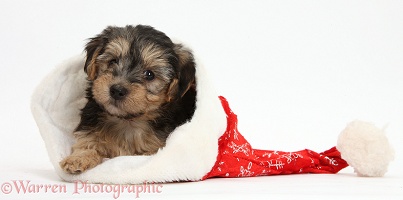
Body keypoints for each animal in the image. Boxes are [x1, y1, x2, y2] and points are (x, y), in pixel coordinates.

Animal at [60, 25, 197, 174]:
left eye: (150, 74)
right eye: (113, 61)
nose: (117, 90)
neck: (126, 120)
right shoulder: (89, 128)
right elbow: (88, 142)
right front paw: (78, 159)